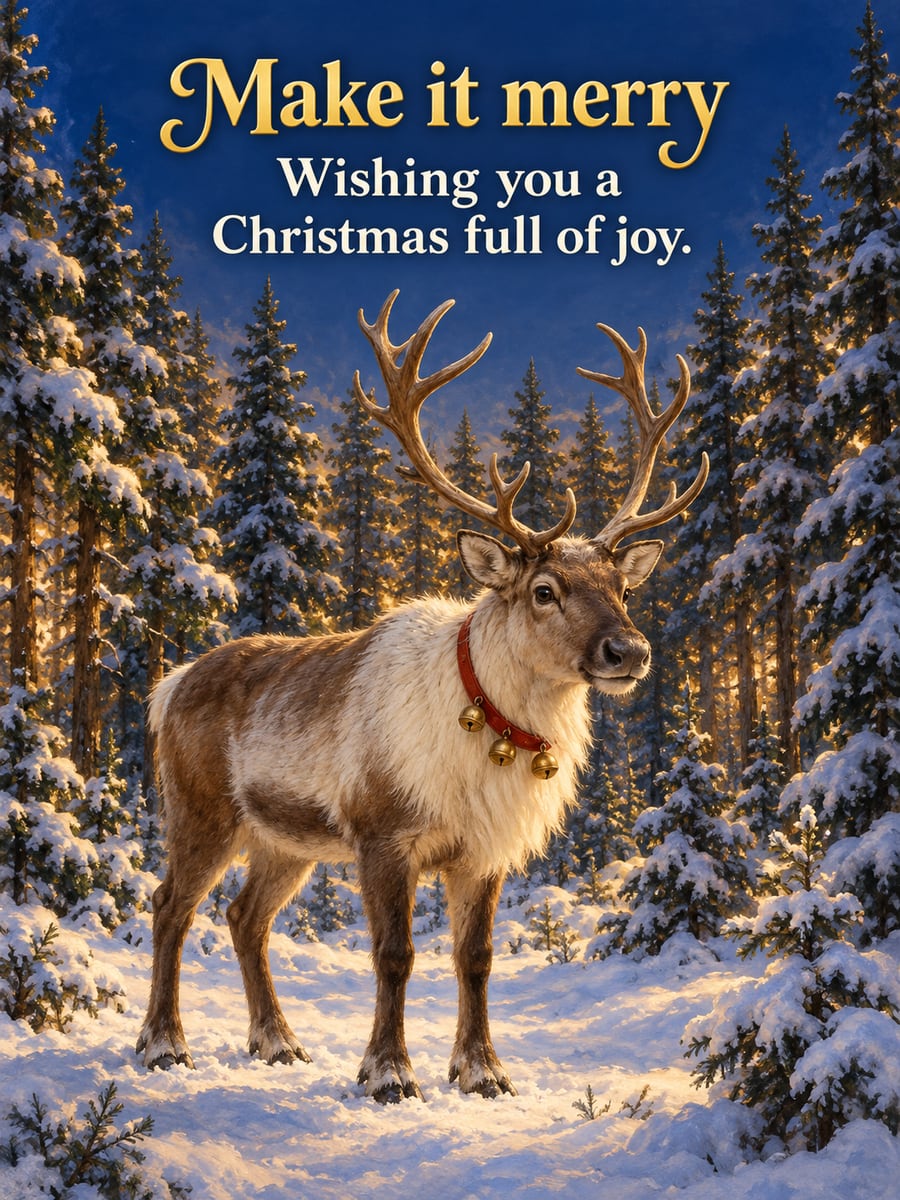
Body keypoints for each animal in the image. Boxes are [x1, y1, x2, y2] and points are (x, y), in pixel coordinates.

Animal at [136, 290, 708, 1102]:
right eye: (545, 590)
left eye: (622, 587)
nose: (629, 652)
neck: (490, 732)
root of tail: (169, 687)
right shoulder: (383, 832)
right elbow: (395, 955)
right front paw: (388, 1073)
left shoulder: (484, 852)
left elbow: (476, 959)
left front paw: (483, 1071)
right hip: (201, 809)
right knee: (169, 907)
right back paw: (164, 1045)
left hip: (284, 839)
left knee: (244, 916)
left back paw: (278, 1042)